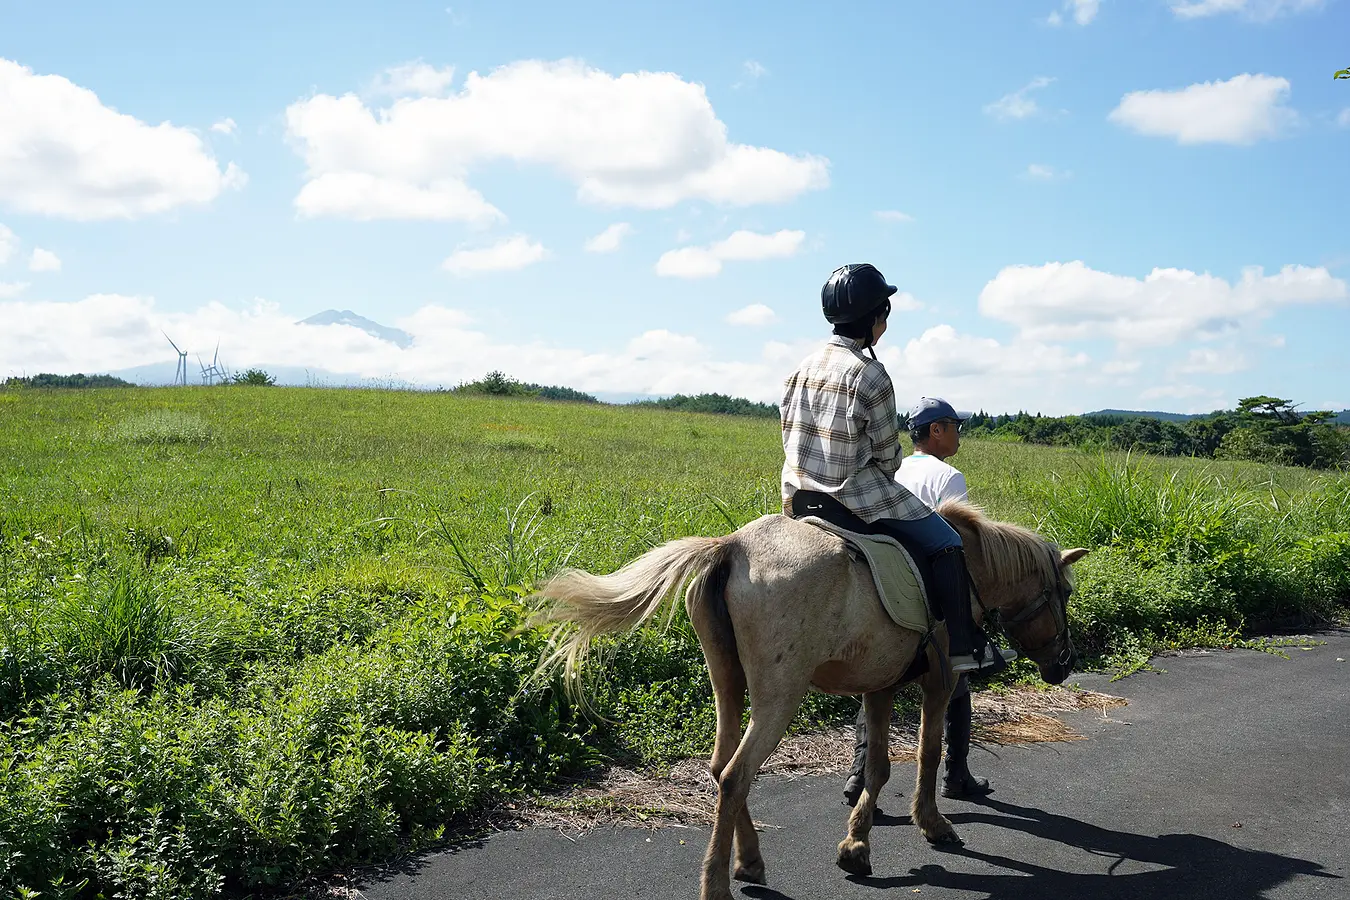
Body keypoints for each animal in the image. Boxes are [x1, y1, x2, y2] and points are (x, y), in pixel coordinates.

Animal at [534, 504, 1085, 900]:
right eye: (1064, 592)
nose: (1065, 663)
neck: (968, 566)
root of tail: (732, 546)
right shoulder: (941, 680)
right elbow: (928, 753)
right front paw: (931, 822)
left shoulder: (879, 685)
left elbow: (879, 765)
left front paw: (857, 845)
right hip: (780, 694)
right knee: (735, 774)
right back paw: (717, 885)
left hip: (727, 682)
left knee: (720, 767)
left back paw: (749, 860)